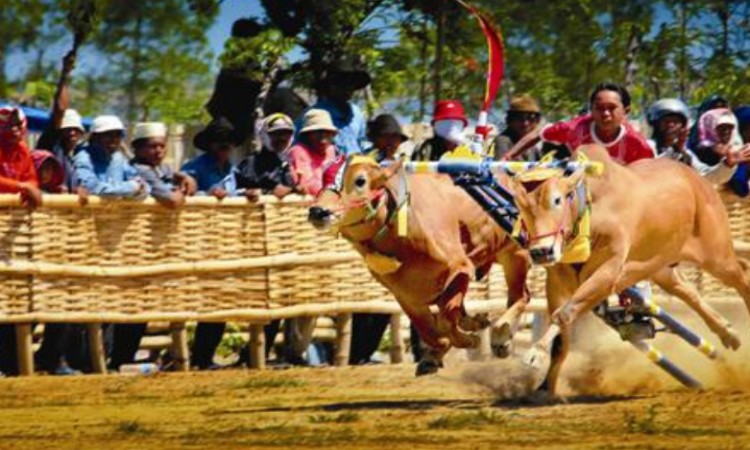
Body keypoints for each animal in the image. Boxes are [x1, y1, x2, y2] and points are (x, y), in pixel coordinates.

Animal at [308, 156, 532, 374]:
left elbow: (446, 319)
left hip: (515, 254)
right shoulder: (406, 296)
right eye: (322, 178)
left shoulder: (460, 268)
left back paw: (501, 337)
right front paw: (436, 354)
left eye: (360, 181)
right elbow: (430, 331)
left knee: (520, 296)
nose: (318, 211)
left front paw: (469, 339)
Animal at [516, 145, 750, 398]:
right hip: (662, 266)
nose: (541, 251)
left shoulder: (607, 275)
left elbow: (565, 314)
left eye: (557, 200)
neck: (590, 212)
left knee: (742, 275)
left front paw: (535, 353)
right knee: (687, 291)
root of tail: (698, 179)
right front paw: (544, 386)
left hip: (716, 255)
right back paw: (728, 333)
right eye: (522, 206)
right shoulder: (557, 282)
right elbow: (561, 338)